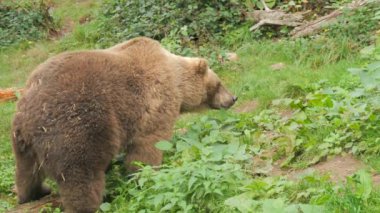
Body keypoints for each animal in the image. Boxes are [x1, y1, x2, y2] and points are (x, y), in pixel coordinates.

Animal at [11, 37, 238, 212]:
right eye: (219, 83)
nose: (233, 98)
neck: (177, 83)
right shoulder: (154, 104)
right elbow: (148, 147)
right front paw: (147, 177)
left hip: (22, 138)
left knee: (26, 171)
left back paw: (34, 193)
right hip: (77, 125)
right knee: (81, 177)